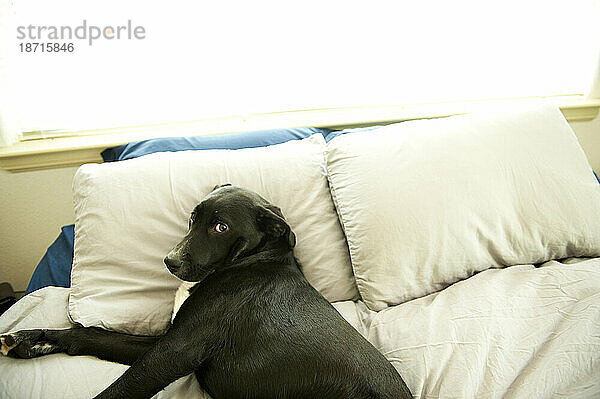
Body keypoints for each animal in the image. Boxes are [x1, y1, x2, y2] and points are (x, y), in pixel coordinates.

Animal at [0, 187, 410, 399]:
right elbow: (92, 335)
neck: (245, 263)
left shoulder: (174, 352)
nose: (169, 261)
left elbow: (122, 387)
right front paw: (32, 339)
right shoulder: (168, 339)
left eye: (221, 227)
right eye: (193, 218)